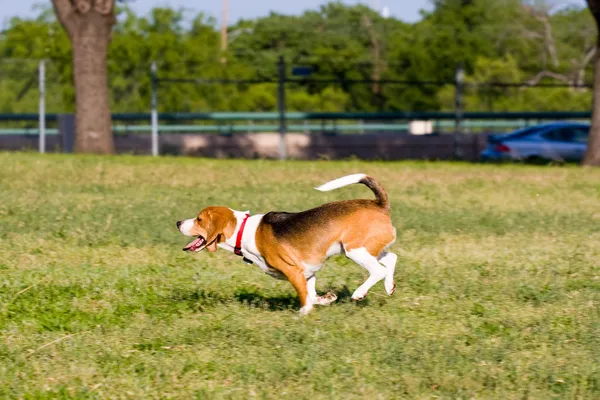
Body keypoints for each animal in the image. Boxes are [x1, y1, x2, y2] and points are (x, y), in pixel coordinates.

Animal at [176, 173, 396, 314]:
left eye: (199, 220)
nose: (178, 222)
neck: (243, 230)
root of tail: (379, 204)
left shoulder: (294, 271)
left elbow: (305, 298)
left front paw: (304, 313)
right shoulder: (307, 272)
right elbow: (311, 294)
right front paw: (326, 299)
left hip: (355, 250)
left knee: (379, 270)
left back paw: (360, 293)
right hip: (368, 248)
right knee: (391, 258)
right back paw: (389, 287)